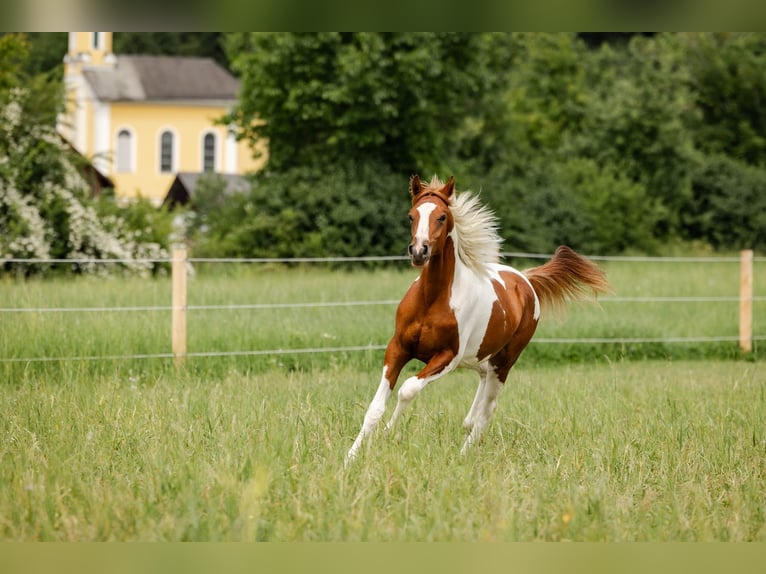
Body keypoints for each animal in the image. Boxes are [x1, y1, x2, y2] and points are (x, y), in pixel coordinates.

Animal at [344, 173, 608, 466]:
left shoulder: (447, 357)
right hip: (480, 356)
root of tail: (525, 279)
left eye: (442, 217)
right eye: (411, 215)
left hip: (505, 361)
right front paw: (350, 458)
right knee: (480, 390)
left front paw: (389, 433)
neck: (432, 299)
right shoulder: (398, 348)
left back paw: (463, 453)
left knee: (488, 409)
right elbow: (375, 408)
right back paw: (467, 422)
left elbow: (408, 389)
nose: (419, 251)